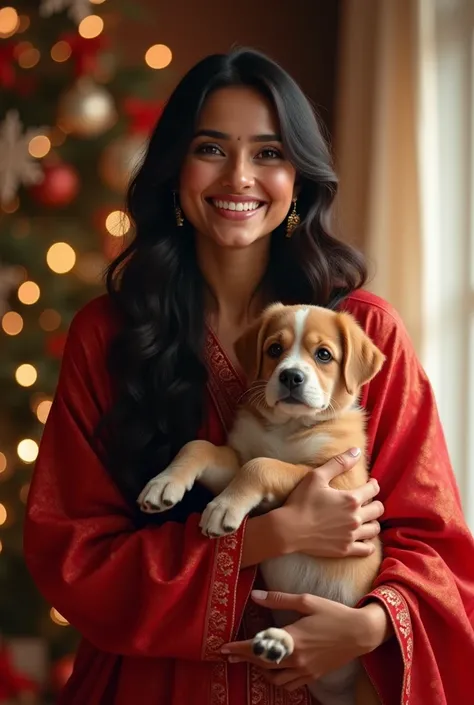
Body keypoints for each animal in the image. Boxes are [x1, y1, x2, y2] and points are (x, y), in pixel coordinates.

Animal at [136, 304, 386, 704]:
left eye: (324, 355)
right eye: (274, 349)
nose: (291, 377)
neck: (288, 427)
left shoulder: (336, 480)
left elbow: (263, 466)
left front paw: (221, 510)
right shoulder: (237, 458)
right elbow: (199, 447)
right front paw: (164, 484)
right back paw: (274, 643)